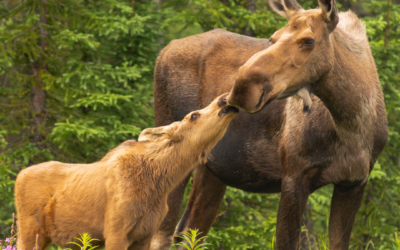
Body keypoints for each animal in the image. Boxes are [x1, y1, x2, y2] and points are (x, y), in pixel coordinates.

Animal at [15, 93, 239, 250]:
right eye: (194, 115)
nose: (223, 99)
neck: (159, 182)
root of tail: (19, 176)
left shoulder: (145, 234)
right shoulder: (116, 231)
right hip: (29, 230)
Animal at [150, 0, 388, 248]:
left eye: (309, 40)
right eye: (273, 38)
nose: (241, 88)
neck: (351, 127)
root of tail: (164, 50)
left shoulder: (353, 182)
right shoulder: (294, 176)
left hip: (212, 169)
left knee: (187, 231)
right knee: (162, 234)